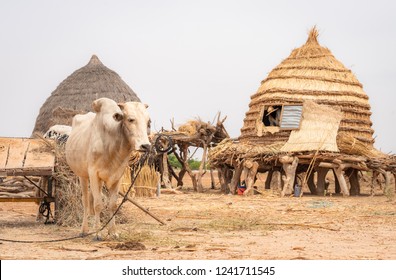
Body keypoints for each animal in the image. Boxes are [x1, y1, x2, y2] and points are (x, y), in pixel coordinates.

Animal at [65, 97, 152, 237]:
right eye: (130, 119)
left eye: (148, 122)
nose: (146, 146)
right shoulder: (93, 174)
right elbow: (97, 205)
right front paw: (97, 234)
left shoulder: (118, 177)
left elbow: (112, 205)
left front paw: (113, 232)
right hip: (82, 176)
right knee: (86, 201)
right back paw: (84, 230)